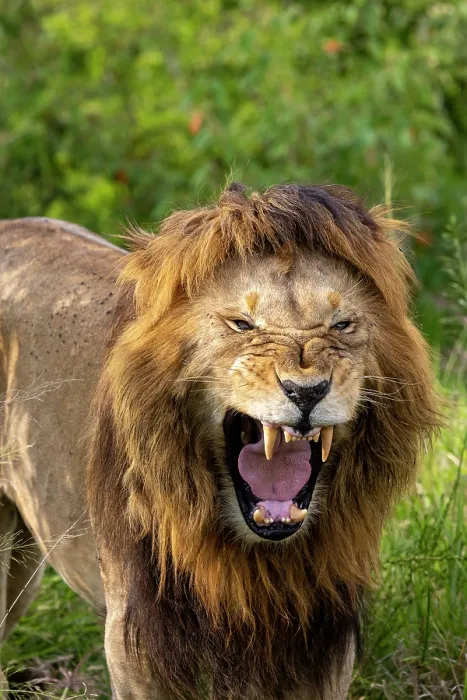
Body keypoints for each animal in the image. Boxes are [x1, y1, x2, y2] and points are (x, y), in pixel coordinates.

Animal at [0, 183, 438, 699]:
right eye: (242, 325)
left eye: (342, 325)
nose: (306, 391)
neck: (255, 561)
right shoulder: (137, 642)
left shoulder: (323, 647)